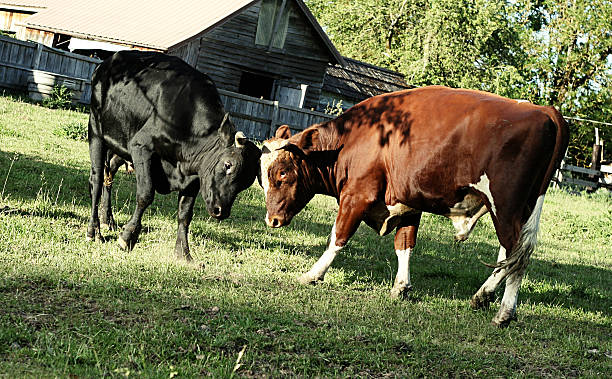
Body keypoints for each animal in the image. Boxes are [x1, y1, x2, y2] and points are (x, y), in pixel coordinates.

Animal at [86, 51, 260, 262]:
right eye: (228, 165)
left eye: (246, 183)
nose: (221, 211)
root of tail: (107, 62)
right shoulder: (141, 146)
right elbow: (145, 194)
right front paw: (127, 237)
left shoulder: (195, 176)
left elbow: (185, 214)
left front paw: (183, 253)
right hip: (96, 129)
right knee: (96, 180)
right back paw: (94, 231)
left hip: (119, 145)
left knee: (109, 174)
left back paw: (107, 220)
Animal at [260, 85, 568, 326]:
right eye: (263, 177)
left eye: (282, 173)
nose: (271, 220)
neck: (352, 141)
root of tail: (544, 110)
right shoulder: (408, 203)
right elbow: (404, 244)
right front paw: (401, 287)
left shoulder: (356, 196)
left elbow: (338, 237)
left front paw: (313, 274)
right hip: (520, 209)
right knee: (508, 254)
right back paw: (482, 296)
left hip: (504, 206)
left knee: (517, 255)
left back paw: (504, 312)